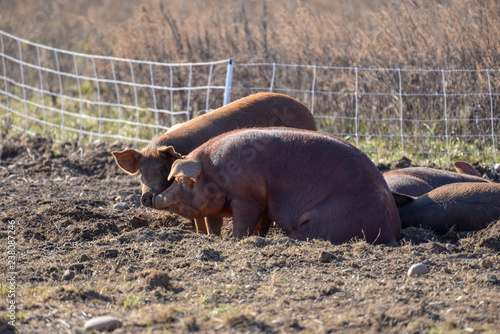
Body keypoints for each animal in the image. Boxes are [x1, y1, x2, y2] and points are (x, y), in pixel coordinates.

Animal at [112, 91, 316, 235]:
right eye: (141, 173)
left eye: (163, 169)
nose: (147, 196)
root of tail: (306, 110)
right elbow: (198, 220)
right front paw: (200, 236)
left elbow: (211, 220)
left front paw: (212, 238)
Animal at [143, 128, 400, 245]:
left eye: (182, 180)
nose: (151, 197)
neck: (216, 172)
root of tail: (391, 228)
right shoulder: (263, 202)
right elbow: (258, 224)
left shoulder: (246, 197)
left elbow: (243, 223)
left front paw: (236, 240)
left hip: (328, 221)